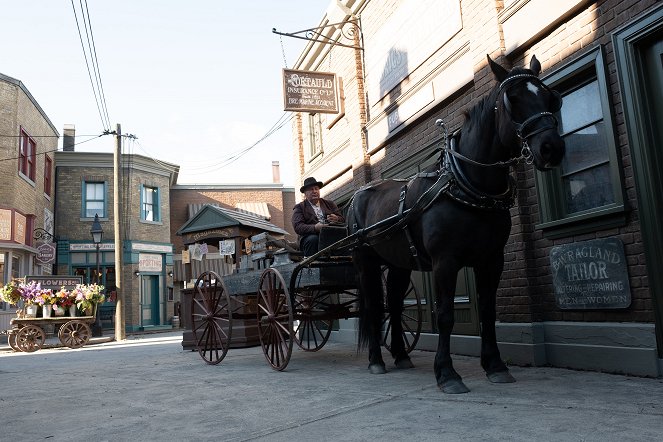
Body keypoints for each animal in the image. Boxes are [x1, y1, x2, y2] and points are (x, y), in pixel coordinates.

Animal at [348, 55, 564, 394]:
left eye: (550, 97)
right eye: (512, 99)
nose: (551, 148)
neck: (467, 185)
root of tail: (359, 195)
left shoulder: (492, 260)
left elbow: (488, 310)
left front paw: (495, 365)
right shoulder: (445, 261)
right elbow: (445, 314)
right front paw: (447, 373)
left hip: (398, 262)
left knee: (394, 303)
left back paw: (400, 355)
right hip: (366, 262)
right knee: (373, 307)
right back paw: (376, 360)